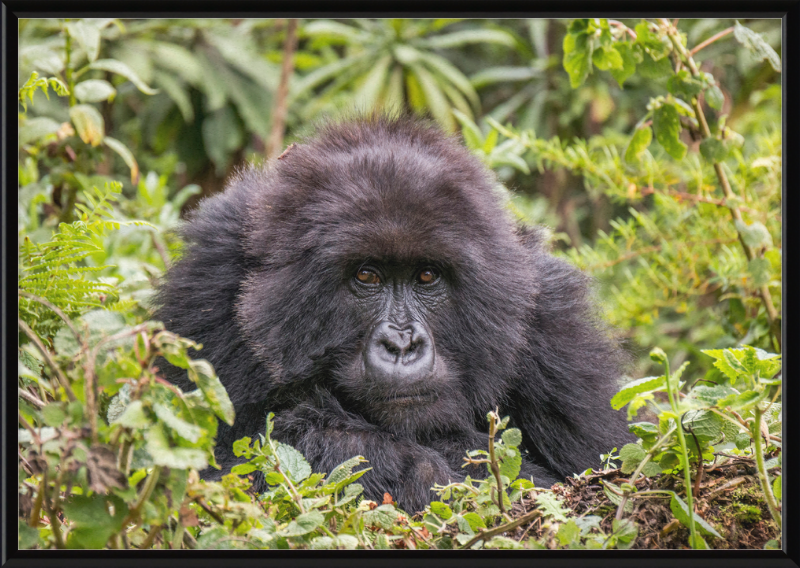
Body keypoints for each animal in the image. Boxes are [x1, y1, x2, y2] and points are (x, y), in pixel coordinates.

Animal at [155, 113, 632, 512]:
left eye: (426, 276)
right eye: (367, 276)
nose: (402, 343)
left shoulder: (554, 324)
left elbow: (601, 473)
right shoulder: (207, 289)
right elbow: (208, 475)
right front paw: (377, 456)